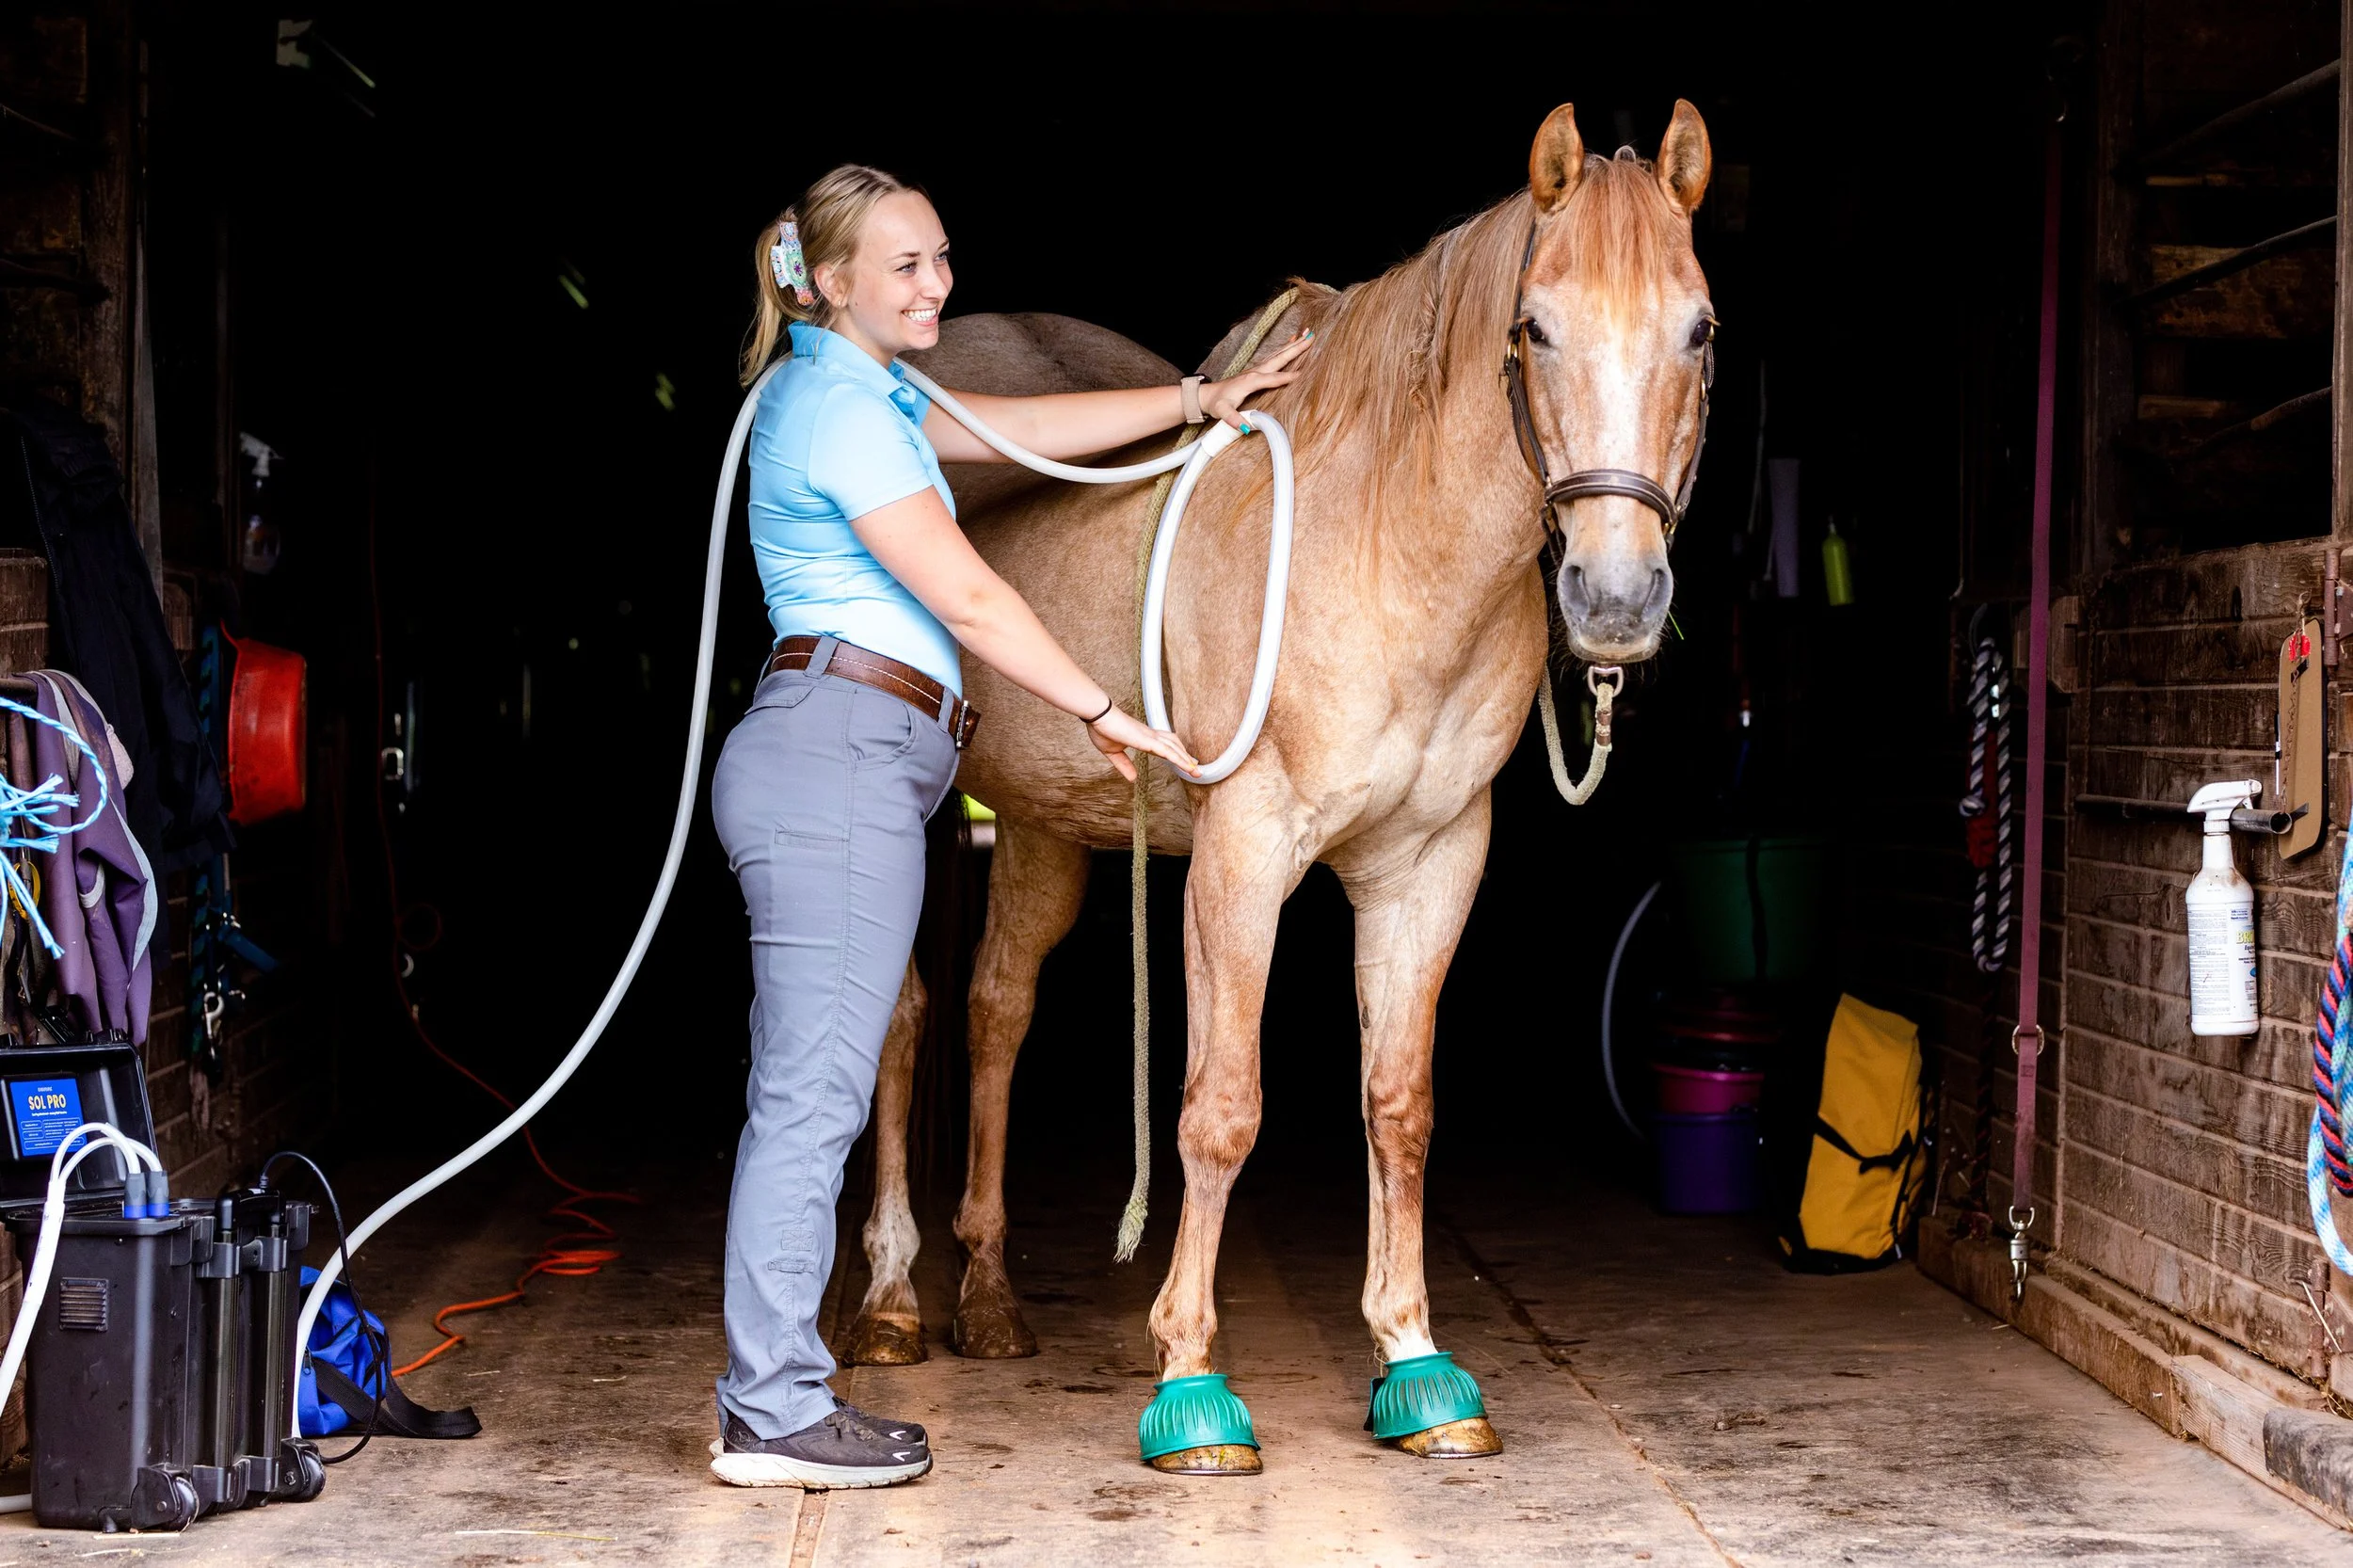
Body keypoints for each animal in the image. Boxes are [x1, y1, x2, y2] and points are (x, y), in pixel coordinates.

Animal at [843, 102, 1714, 1473]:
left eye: (1701, 329)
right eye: (1534, 326)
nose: (1615, 600)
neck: (1383, 543)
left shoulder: (1429, 861)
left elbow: (1398, 1105)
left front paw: (1416, 1366)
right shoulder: (1245, 851)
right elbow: (1219, 1109)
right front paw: (1191, 1384)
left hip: (1043, 820)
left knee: (995, 1008)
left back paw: (985, 1296)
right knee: (903, 1017)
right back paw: (886, 1300)